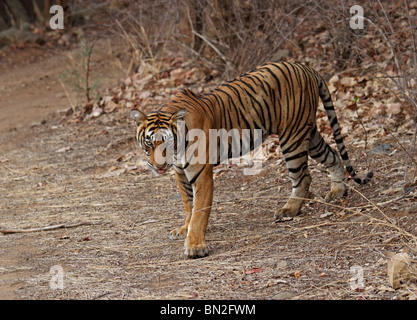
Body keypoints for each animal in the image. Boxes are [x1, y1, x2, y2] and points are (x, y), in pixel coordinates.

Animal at [129, 61, 370, 258]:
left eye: (167, 143)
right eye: (149, 143)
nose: (159, 166)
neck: (178, 149)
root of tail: (306, 67)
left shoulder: (201, 175)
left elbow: (198, 210)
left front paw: (195, 246)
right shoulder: (180, 173)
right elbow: (188, 204)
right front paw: (184, 229)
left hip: (292, 136)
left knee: (304, 177)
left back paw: (289, 210)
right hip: (308, 133)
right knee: (333, 155)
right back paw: (338, 190)